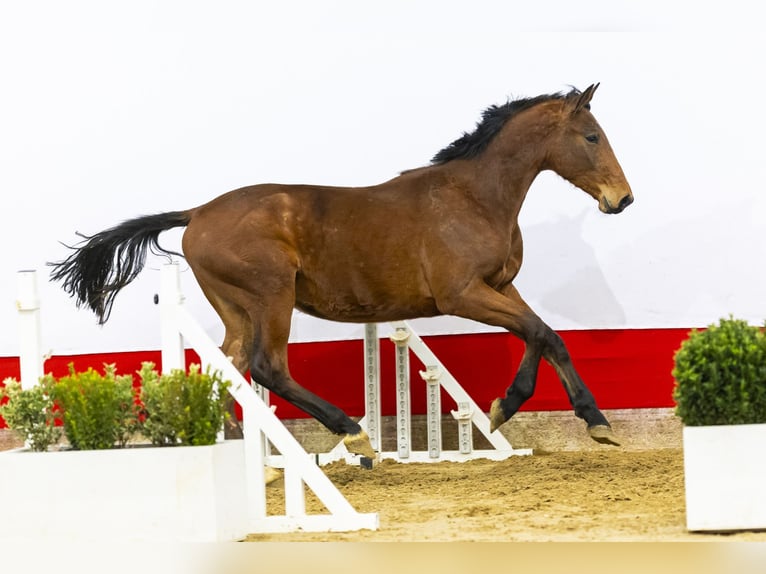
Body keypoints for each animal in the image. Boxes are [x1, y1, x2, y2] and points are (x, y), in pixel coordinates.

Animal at [49, 83, 636, 460]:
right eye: (591, 136)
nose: (622, 199)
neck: (474, 198)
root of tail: (196, 214)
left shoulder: (500, 286)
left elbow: (546, 336)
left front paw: (585, 420)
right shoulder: (463, 294)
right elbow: (539, 331)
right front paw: (514, 408)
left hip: (238, 308)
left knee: (230, 365)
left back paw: (251, 455)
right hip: (272, 297)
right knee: (267, 367)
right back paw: (352, 434)